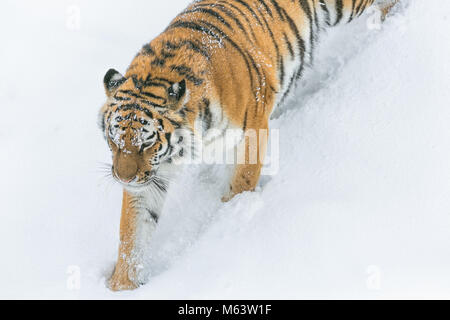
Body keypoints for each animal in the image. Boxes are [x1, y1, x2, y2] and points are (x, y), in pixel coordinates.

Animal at [99, 0, 400, 290]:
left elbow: (243, 179)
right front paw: (122, 284)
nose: (123, 178)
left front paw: (230, 214)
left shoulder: (252, 130)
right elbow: (133, 231)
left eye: (146, 143)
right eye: (114, 140)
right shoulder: (153, 174)